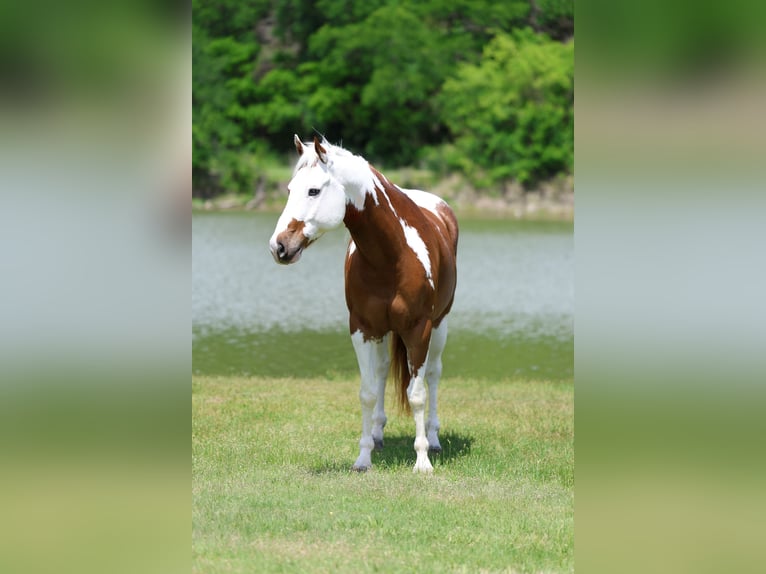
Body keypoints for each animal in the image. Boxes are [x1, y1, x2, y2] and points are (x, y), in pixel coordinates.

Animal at [269, 135, 458, 473]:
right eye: (290, 190)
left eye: (313, 190)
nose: (278, 246)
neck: (392, 256)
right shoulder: (362, 329)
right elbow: (368, 392)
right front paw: (363, 457)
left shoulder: (418, 330)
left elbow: (417, 394)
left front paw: (422, 460)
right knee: (382, 372)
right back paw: (379, 434)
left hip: (440, 325)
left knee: (434, 374)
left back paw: (434, 440)